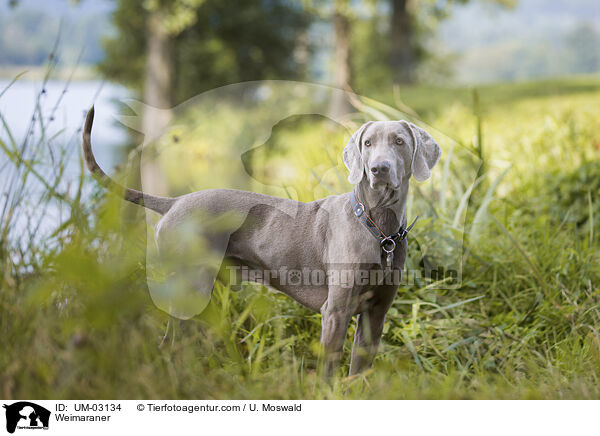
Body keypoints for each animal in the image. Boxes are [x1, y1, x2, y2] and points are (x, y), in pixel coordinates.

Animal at [82, 107, 438, 376]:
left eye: (399, 141)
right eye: (367, 143)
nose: (379, 169)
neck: (379, 228)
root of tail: (175, 202)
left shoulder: (376, 314)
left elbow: (357, 373)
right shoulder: (335, 312)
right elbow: (328, 371)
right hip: (190, 288)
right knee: (171, 341)